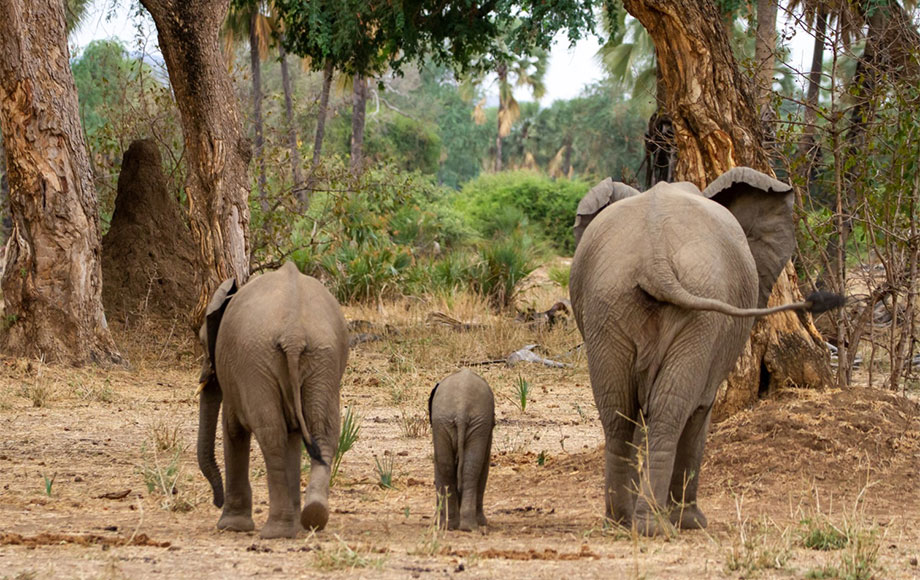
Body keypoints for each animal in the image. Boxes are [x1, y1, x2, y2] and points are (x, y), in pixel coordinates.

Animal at [198, 262, 348, 540]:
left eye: (203, 342)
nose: (216, 501)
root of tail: (294, 334)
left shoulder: (238, 373)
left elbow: (233, 429)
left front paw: (231, 527)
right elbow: (295, 434)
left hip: (257, 361)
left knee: (271, 433)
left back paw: (276, 532)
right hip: (324, 358)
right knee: (323, 431)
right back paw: (312, 517)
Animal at [426, 370, 492, 532]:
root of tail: (462, 409)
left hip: (451, 421)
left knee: (450, 466)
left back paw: (456, 526)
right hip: (464, 422)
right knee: (466, 467)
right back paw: (463, 526)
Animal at [572, 167, 844, 536]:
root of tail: (654, 256)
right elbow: (701, 411)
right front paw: (692, 523)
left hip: (607, 303)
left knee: (618, 413)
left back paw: (620, 523)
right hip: (697, 314)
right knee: (671, 412)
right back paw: (655, 526)